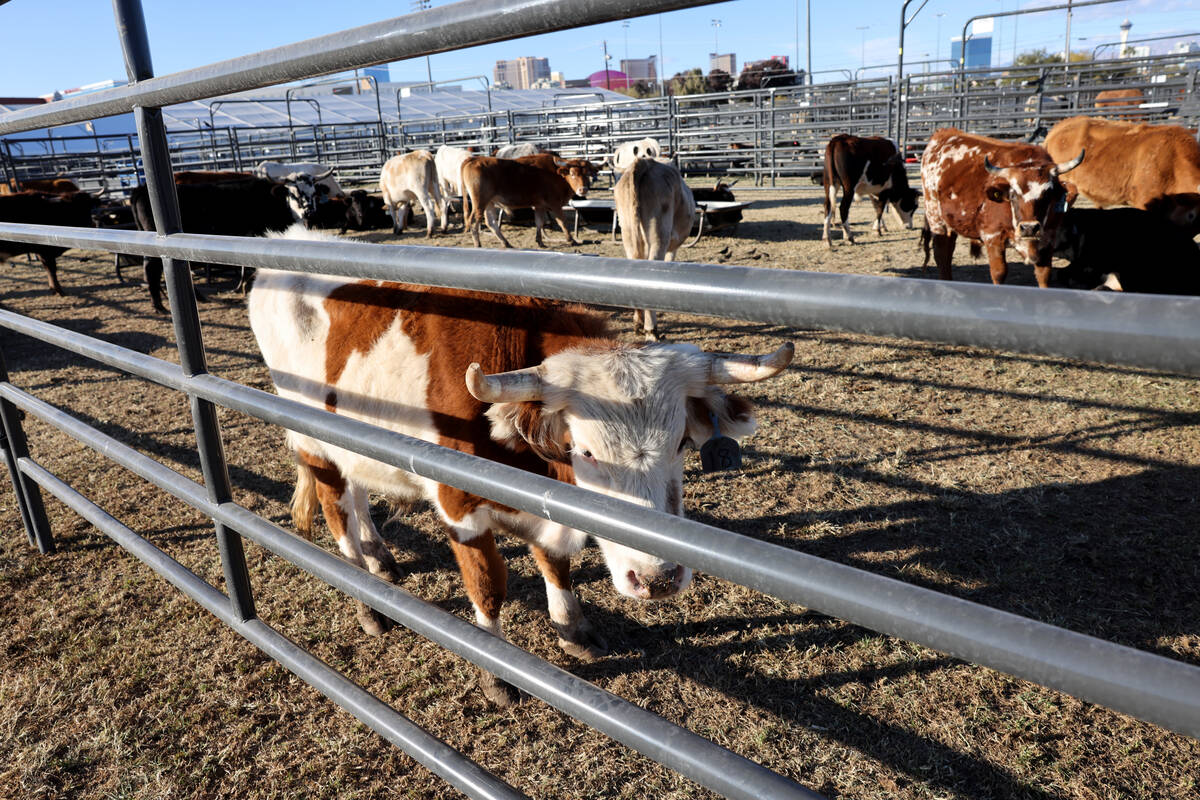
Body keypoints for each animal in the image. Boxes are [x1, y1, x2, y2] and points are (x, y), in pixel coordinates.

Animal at [130, 179, 294, 314]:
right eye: (284, 205)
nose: (290, 224)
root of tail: (141, 189)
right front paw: (245, 285)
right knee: (151, 270)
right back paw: (159, 306)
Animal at [458, 154, 590, 247]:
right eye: (572, 174)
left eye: (587, 174)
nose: (583, 189)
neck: (556, 174)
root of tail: (473, 159)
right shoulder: (555, 204)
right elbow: (562, 221)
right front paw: (571, 240)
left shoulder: (539, 206)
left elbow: (539, 222)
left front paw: (540, 242)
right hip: (479, 202)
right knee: (473, 221)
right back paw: (478, 244)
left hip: (489, 202)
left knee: (491, 223)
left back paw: (506, 243)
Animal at [614, 157, 700, 340]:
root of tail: (643, 162)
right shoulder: (672, 247)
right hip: (659, 234)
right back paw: (651, 330)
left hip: (628, 233)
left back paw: (639, 323)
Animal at [916, 131, 1089, 291]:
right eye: (1013, 194)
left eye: (1048, 194)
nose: (1029, 228)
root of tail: (943, 133)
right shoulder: (992, 237)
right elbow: (999, 273)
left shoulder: (1048, 239)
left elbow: (1044, 275)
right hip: (936, 219)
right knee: (941, 254)